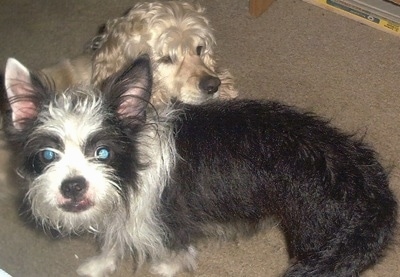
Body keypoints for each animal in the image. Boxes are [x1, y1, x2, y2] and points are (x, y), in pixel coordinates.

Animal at [3, 55, 396, 274]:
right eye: (47, 155)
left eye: (103, 153)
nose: (73, 186)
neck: (133, 170)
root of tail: (374, 186)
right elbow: (112, 240)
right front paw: (99, 265)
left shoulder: (169, 219)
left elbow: (175, 249)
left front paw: (166, 267)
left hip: (314, 238)